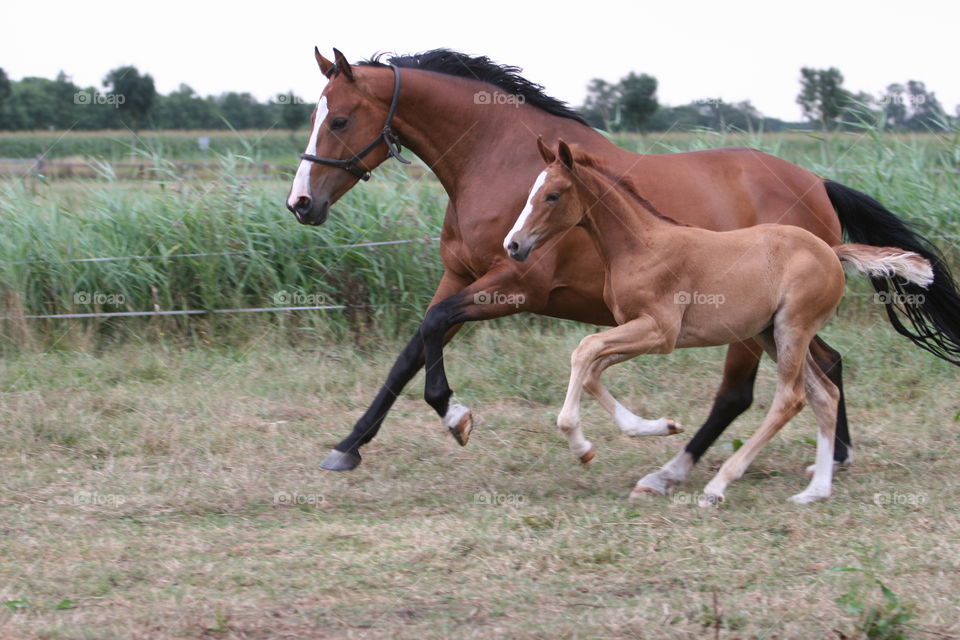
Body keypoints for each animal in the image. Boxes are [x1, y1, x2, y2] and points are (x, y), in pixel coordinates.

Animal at [506, 140, 932, 504]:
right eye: (530, 191)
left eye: (553, 195)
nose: (513, 244)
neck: (642, 245)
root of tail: (831, 249)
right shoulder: (637, 330)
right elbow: (593, 371)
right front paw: (660, 427)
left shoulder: (660, 332)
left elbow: (584, 350)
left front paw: (580, 444)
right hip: (770, 334)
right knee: (824, 394)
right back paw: (815, 491)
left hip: (791, 329)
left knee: (790, 398)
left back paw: (719, 484)